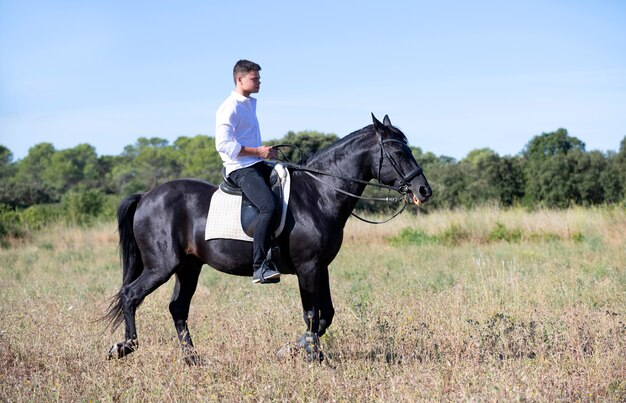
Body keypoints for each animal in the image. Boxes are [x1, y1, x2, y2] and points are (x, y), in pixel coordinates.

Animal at [106, 114, 428, 362]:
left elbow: (326, 314)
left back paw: (192, 359)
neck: (319, 193)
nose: (424, 191)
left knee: (177, 308)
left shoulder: (320, 266)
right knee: (131, 295)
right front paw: (310, 356)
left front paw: (296, 349)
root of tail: (146, 196)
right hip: (162, 266)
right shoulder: (307, 267)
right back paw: (124, 347)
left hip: (188, 267)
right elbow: (312, 313)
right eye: (398, 153)